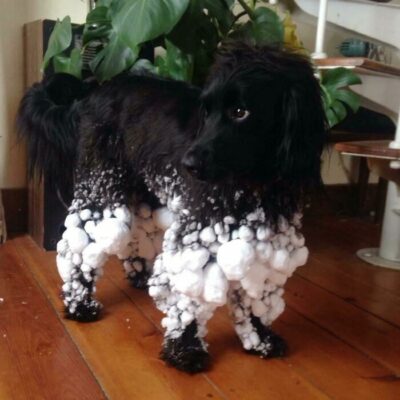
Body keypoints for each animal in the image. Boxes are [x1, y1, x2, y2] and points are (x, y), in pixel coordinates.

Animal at [17, 42, 326, 374]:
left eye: (240, 112)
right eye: (207, 111)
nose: (188, 164)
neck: (256, 184)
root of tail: (94, 88)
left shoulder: (260, 237)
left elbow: (253, 290)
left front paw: (259, 338)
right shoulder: (198, 231)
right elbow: (187, 298)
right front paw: (186, 348)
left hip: (142, 188)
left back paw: (140, 275)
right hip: (101, 187)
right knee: (80, 246)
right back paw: (80, 304)